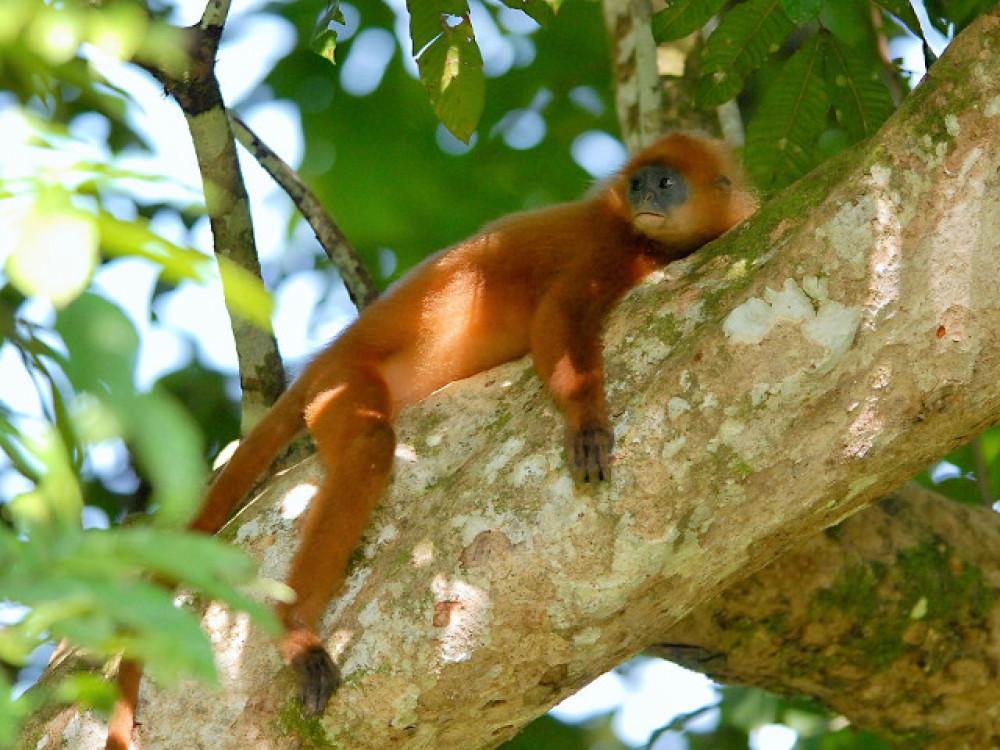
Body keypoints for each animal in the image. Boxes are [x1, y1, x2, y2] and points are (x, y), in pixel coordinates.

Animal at [105, 132, 754, 749]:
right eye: (641, 182)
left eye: (666, 183)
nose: (645, 195)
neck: (643, 240)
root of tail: (329, 357)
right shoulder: (605, 249)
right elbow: (557, 320)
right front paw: (586, 420)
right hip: (344, 385)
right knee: (369, 446)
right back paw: (297, 631)